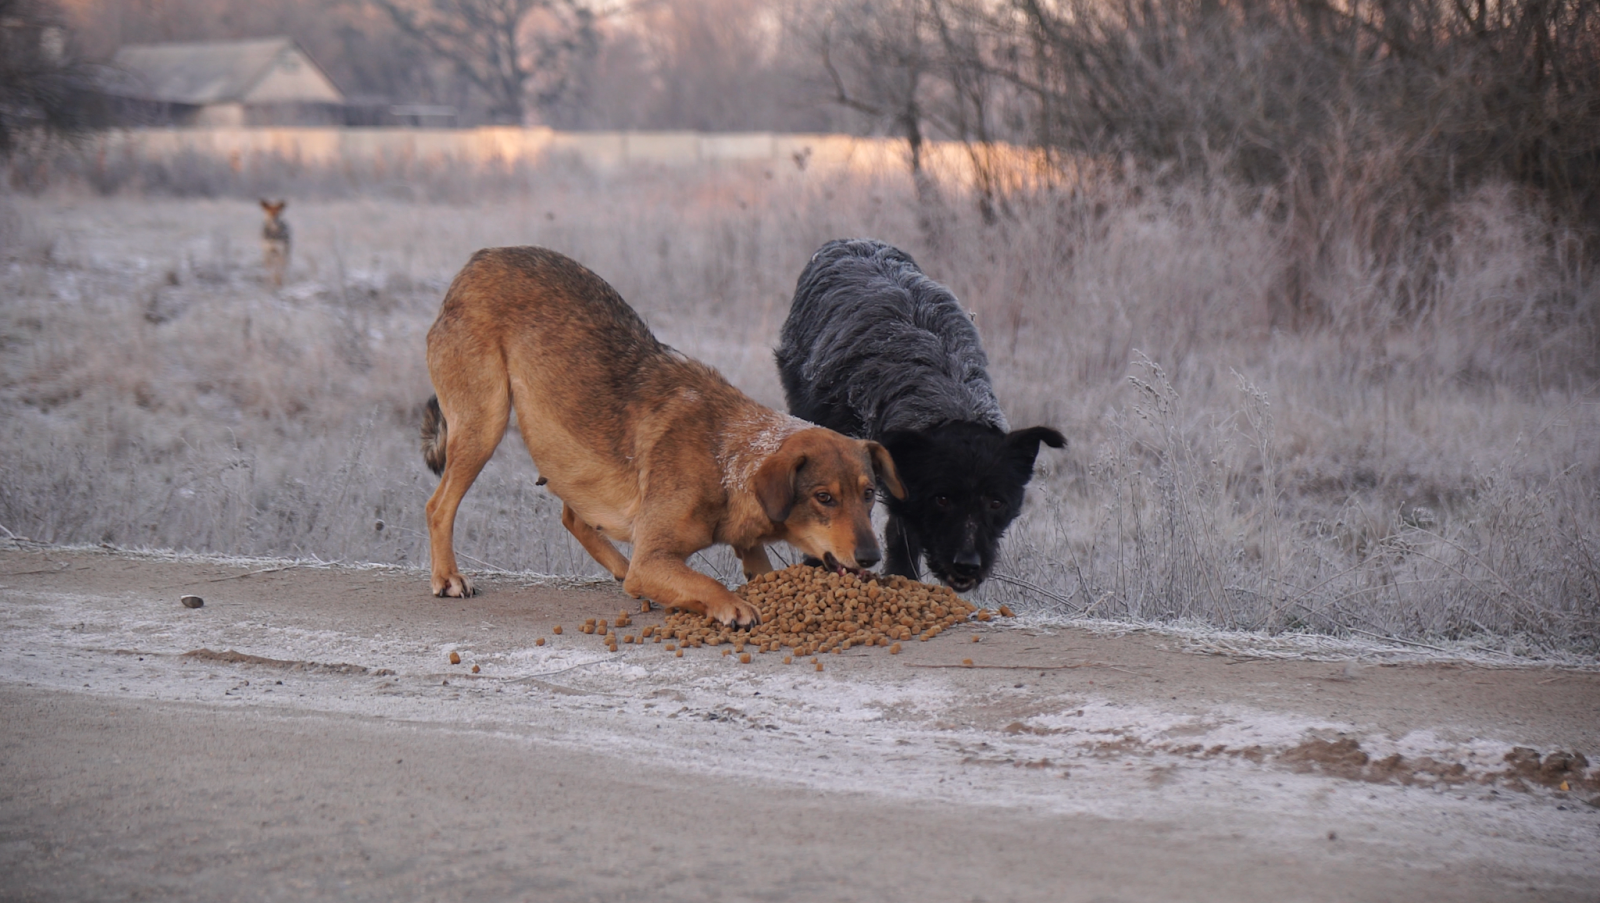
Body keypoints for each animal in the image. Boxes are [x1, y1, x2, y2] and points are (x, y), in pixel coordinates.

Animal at [422, 246, 902, 627]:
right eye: (824, 498)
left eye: (869, 494)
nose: (871, 558)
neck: (727, 457)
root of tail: (477, 262)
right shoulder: (653, 561)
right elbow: (706, 581)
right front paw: (733, 605)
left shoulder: (746, 547)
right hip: (485, 425)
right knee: (438, 506)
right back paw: (447, 577)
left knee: (573, 517)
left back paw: (618, 571)